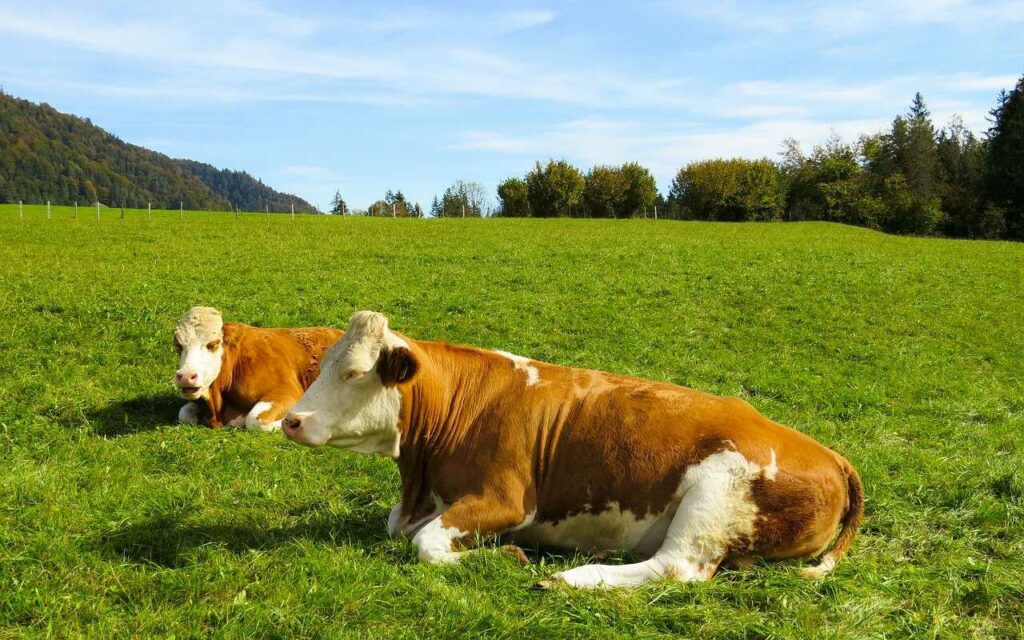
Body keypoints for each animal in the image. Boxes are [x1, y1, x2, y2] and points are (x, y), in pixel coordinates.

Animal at [169, 305, 342, 434]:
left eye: (212, 344)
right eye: (178, 345)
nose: (186, 376)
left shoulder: (287, 392)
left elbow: (254, 420)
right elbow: (184, 414)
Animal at [280, 311, 864, 585]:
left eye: (354, 373)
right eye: (322, 364)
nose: (291, 420)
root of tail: (831, 455)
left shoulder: (507, 499)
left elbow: (424, 544)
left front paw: (509, 554)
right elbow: (401, 528)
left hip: (714, 493)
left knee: (675, 567)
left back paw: (571, 577)